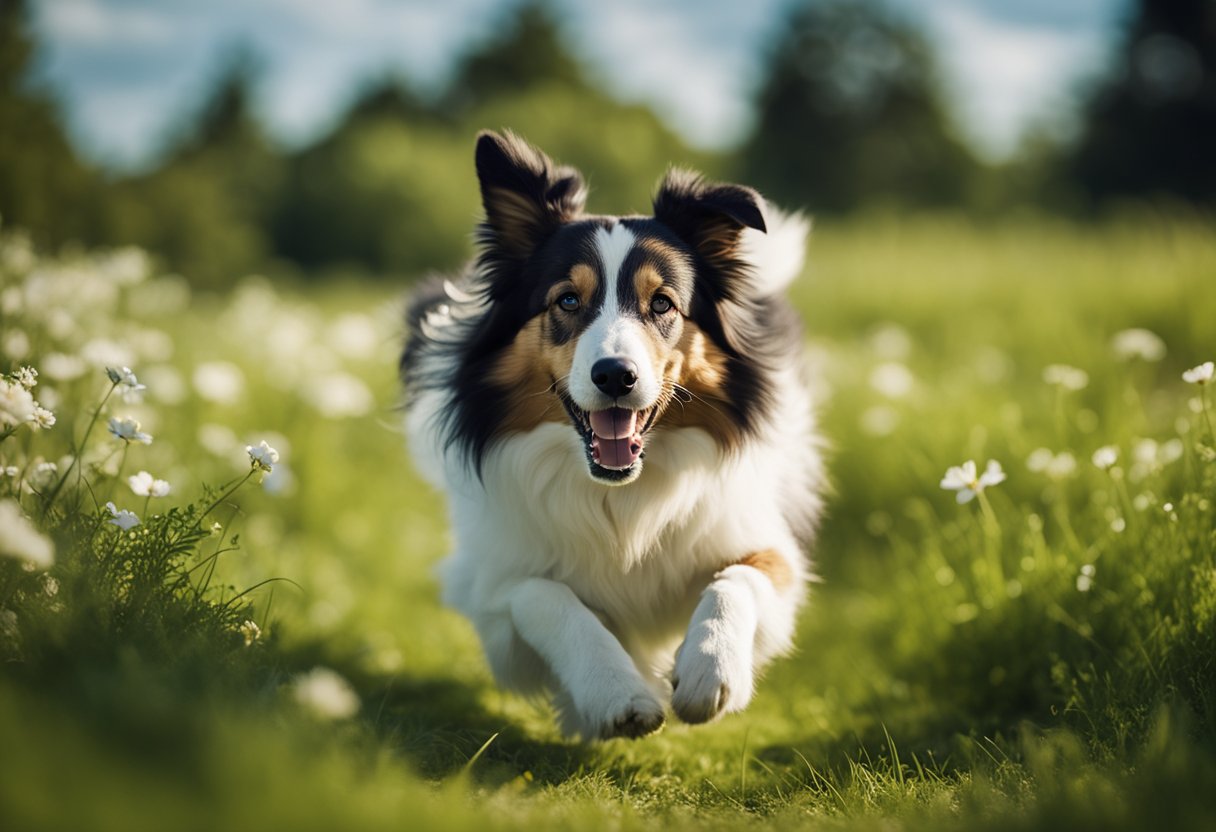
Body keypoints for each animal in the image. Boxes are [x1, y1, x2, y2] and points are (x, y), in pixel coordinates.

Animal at [403, 131, 822, 739]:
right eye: (567, 300)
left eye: (663, 303)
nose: (615, 376)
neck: (619, 497)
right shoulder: (490, 582)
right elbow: (546, 595)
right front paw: (613, 691)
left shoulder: (759, 539)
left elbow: (737, 579)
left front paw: (709, 669)